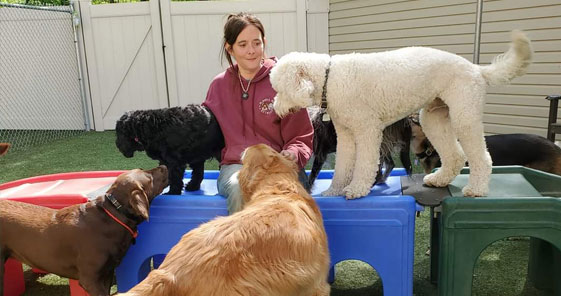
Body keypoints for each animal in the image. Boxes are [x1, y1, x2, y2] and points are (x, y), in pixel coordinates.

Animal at [274, 30, 532, 199]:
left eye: (279, 90)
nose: (274, 109)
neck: (331, 77)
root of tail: (476, 69)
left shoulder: (367, 130)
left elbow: (364, 164)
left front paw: (356, 189)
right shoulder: (346, 135)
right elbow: (343, 166)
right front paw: (333, 190)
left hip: (464, 116)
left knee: (482, 157)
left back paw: (476, 189)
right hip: (434, 119)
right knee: (456, 155)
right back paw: (439, 180)